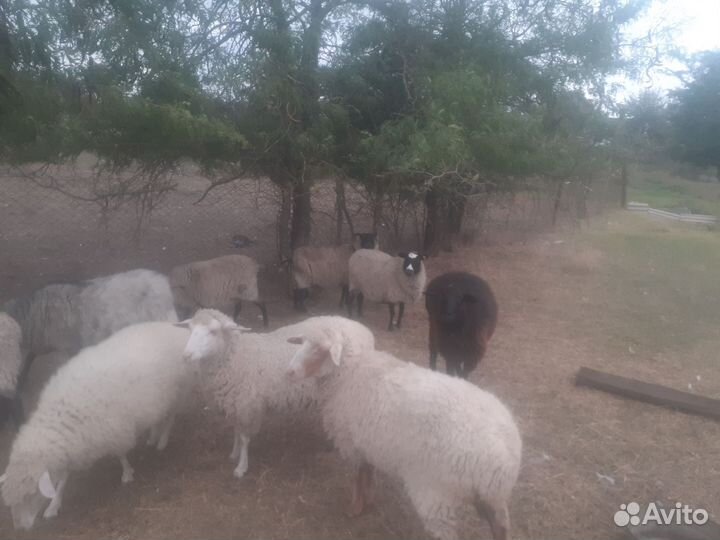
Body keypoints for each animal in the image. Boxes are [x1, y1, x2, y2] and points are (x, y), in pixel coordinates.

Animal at [0, 320, 195, 530]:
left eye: (30, 494)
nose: (20, 527)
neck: (61, 415)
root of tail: (174, 328)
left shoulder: (114, 429)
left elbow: (121, 454)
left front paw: (127, 473)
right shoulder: (72, 446)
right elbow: (62, 480)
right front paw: (54, 505)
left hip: (179, 390)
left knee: (170, 417)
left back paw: (162, 441)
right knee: (159, 416)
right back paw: (152, 436)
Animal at [177, 309, 374, 479]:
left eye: (213, 331)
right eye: (190, 329)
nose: (186, 355)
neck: (234, 356)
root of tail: (362, 329)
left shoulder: (248, 404)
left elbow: (244, 438)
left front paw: (241, 467)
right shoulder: (235, 403)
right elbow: (236, 430)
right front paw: (234, 453)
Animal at [285, 323, 522, 540]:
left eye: (321, 349)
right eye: (302, 343)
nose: (289, 372)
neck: (350, 372)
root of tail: (505, 457)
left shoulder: (352, 444)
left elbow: (358, 477)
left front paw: (355, 508)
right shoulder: (368, 443)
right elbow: (368, 472)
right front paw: (369, 499)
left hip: (436, 493)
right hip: (494, 498)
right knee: (501, 526)